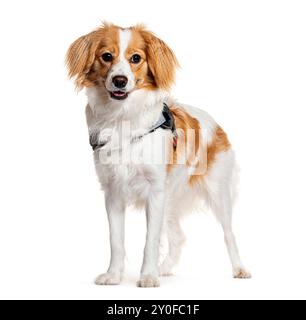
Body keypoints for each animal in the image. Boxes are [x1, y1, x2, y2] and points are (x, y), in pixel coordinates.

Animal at [65, 22, 250, 288]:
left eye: (136, 58)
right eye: (106, 56)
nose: (119, 81)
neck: (123, 118)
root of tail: (216, 124)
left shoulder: (155, 191)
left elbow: (150, 241)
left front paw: (148, 276)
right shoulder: (113, 193)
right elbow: (116, 240)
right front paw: (114, 275)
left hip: (218, 194)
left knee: (229, 234)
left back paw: (239, 269)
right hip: (170, 201)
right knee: (179, 237)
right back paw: (165, 268)